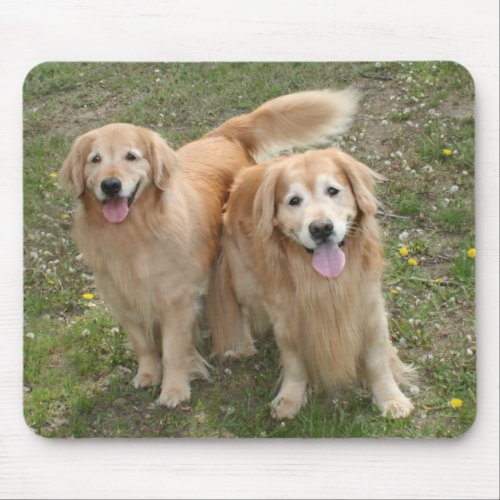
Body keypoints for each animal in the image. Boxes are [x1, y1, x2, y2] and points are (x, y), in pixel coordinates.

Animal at [58, 88, 360, 408]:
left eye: (131, 156)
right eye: (95, 159)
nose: (111, 185)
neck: (133, 233)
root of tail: (223, 134)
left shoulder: (176, 299)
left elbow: (173, 350)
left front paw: (174, 390)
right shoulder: (122, 298)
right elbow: (143, 344)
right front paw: (148, 374)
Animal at [207, 147, 414, 418]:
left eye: (333, 191)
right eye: (294, 201)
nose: (321, 228)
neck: (325, 282)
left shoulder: (369, 305)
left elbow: (377, 359)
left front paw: (391, 398)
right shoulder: (286, 315)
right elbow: (294, 361)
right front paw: (290, 398)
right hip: (246, 280)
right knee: (239, 305)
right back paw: (241, 345)